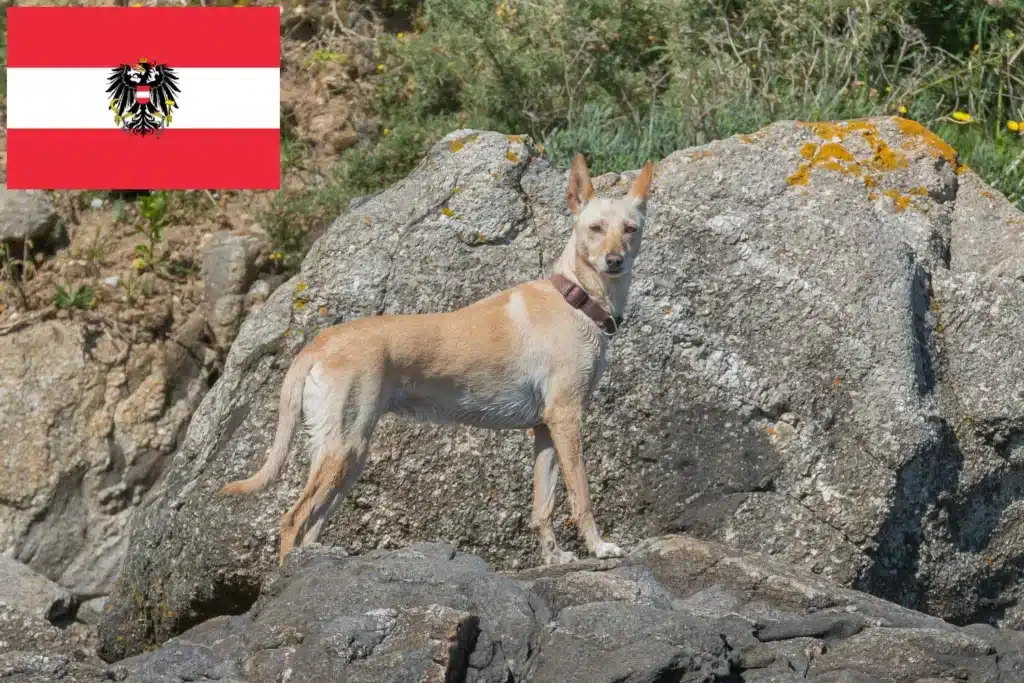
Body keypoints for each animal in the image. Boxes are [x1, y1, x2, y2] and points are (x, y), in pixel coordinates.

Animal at [221, 154, 655, 565]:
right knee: (292, 520)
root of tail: (318, 344)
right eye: (595, 228)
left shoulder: (546, 429)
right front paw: (598, 547)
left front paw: (553, 556)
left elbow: (543, 504)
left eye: (630, 229)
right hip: (343, 446)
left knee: (311, 526)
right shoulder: (567, 418)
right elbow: (581, 495)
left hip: (349, 454)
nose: (614, 261)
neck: (577, 299)